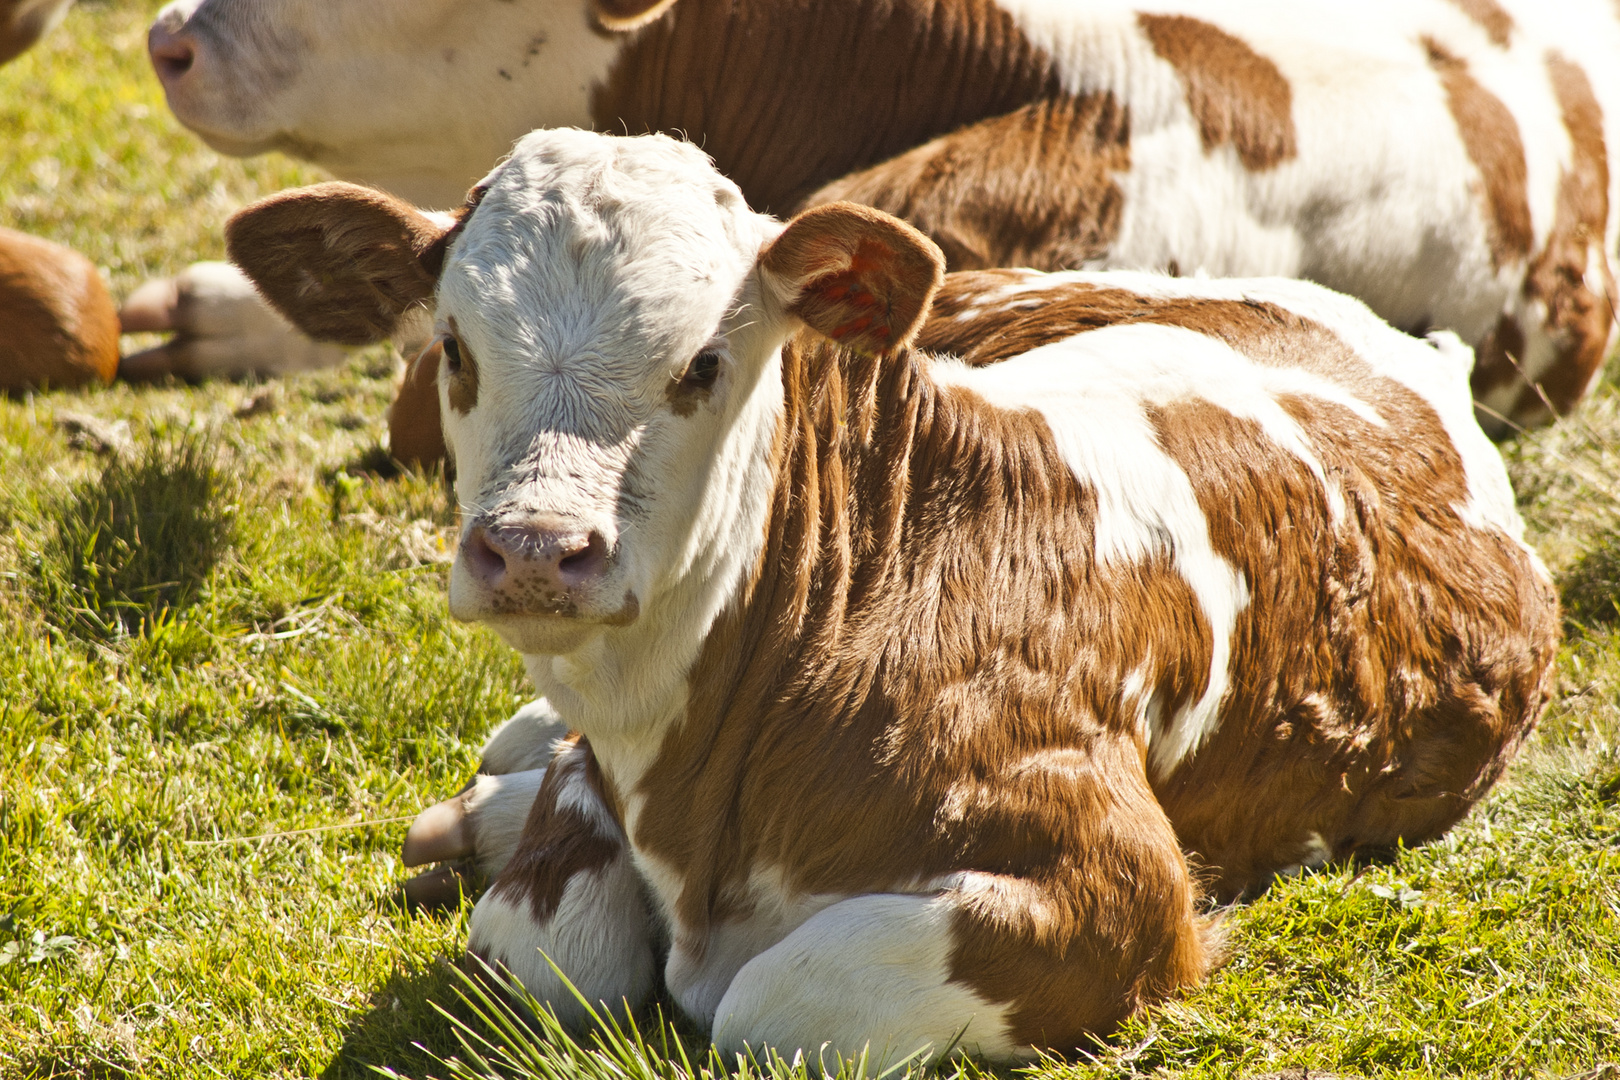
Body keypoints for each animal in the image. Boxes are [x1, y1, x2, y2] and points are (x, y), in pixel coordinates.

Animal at [225, 131, 1555, 1062]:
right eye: (454, 347)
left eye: (703, 364)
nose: (539, 550)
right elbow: (546, 949)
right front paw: (509, 813)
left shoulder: (1112, 892)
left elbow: (765, 1007)